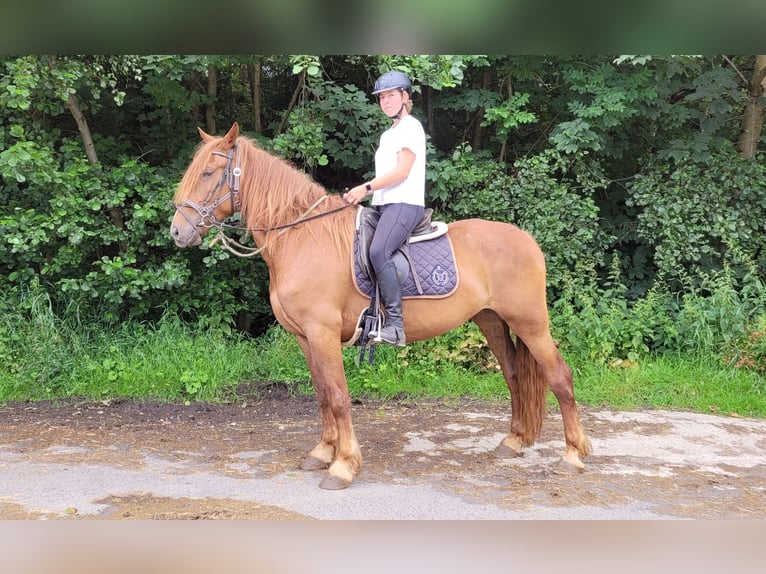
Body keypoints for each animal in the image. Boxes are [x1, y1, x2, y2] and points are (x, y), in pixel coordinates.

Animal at [172, 121, 592, 490]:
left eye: (208, 172)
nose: (178, 231)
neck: (302, 237)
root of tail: (526, 239)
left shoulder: (323, 333)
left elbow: (338, 397)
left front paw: (343, 465)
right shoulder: (305, 338)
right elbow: (321, 394)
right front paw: (323, 452)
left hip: (531, 324)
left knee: (560, 377)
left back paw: (573, 454)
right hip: (492, 321)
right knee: (515, 376)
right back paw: (515, 441)